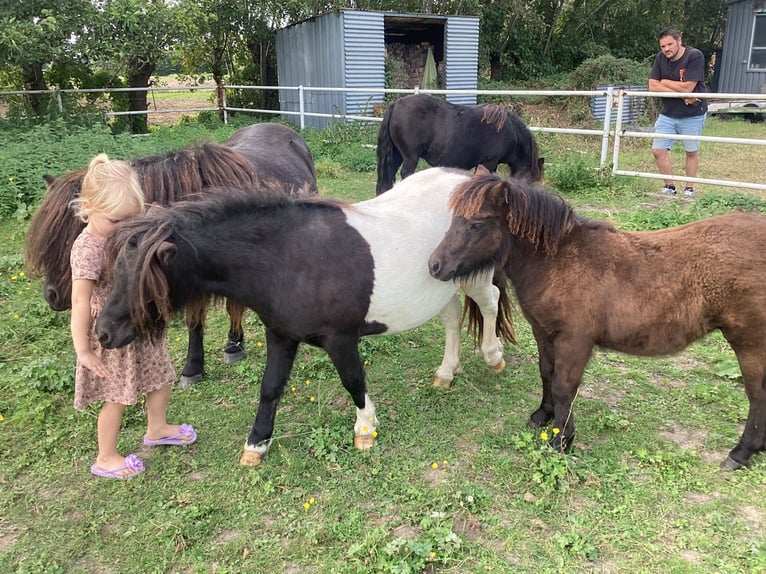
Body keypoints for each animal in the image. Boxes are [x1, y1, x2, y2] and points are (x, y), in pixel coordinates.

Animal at [24, 124, 318, 390]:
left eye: (69, 237)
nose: (50, 295)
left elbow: (219, 311)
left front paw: (224, 350)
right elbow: (195, 320)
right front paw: (197, 364)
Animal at [94, 168, 516, 468]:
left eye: (144, 281)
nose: (102, 334)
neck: (288, 258)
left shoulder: (340, 339)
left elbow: (353, 381)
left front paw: (365, 429)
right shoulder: (280, 335)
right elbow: (270, 388)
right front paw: (256, 444)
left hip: (472, 276)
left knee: (490, 302)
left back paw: (494, 357)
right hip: (439, 286)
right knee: (452, 318)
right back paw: (446, 372)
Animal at [376, 93, 544, 195]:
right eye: (531, 181)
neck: (510, 132)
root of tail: (396, 104)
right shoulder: (490, 162)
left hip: (397, 155)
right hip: (410, 157)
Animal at [432, 166, 766, 472]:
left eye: (476, 224)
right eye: (453, 219)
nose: (435, 266)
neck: (558, 262)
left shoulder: (574, 341)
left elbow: (564, 386)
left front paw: (562, 440)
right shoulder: (544, 333)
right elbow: (546, 374)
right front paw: (542, 416)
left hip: (749, 342)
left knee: (756, 395)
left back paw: (741, 453)